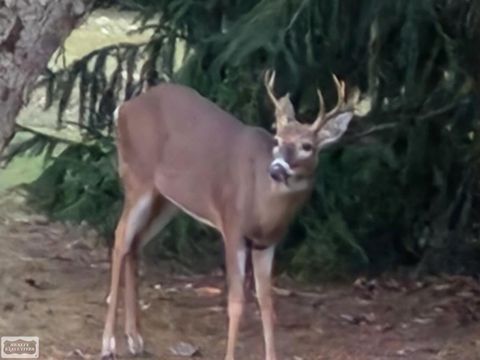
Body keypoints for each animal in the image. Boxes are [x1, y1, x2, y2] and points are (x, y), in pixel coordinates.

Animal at [99, 68, 358, 360]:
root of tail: (123, 109)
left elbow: (267, 302)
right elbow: (235, 301)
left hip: (166, 200)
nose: (276, 170)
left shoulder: (267, 242)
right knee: (120, 239)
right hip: (137, 179)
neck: (264, 208)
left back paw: (135, 338)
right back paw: (108, 343)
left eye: (307, 146)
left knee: (135, 244)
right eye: (277, 140)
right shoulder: (232, 226)